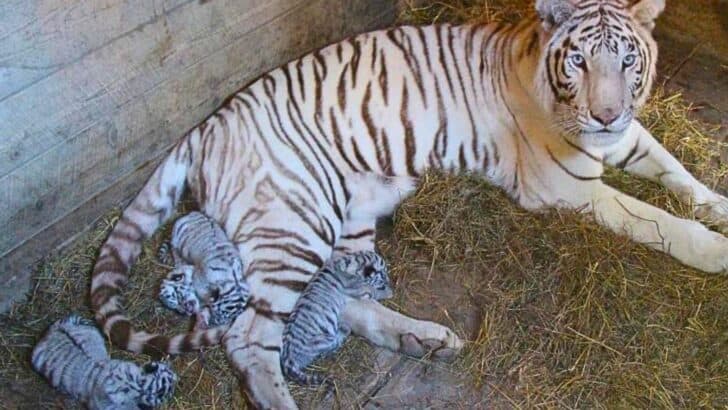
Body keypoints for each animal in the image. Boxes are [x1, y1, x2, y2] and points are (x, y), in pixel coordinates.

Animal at [281, 250, 393, 386]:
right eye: (383, 274)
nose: (389, 280)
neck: (350, 261)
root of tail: (287, 361)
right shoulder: (360, 289)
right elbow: (373, 291)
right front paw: (389, 291)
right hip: (324, 339)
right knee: (332, 345)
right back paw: (343, 327)